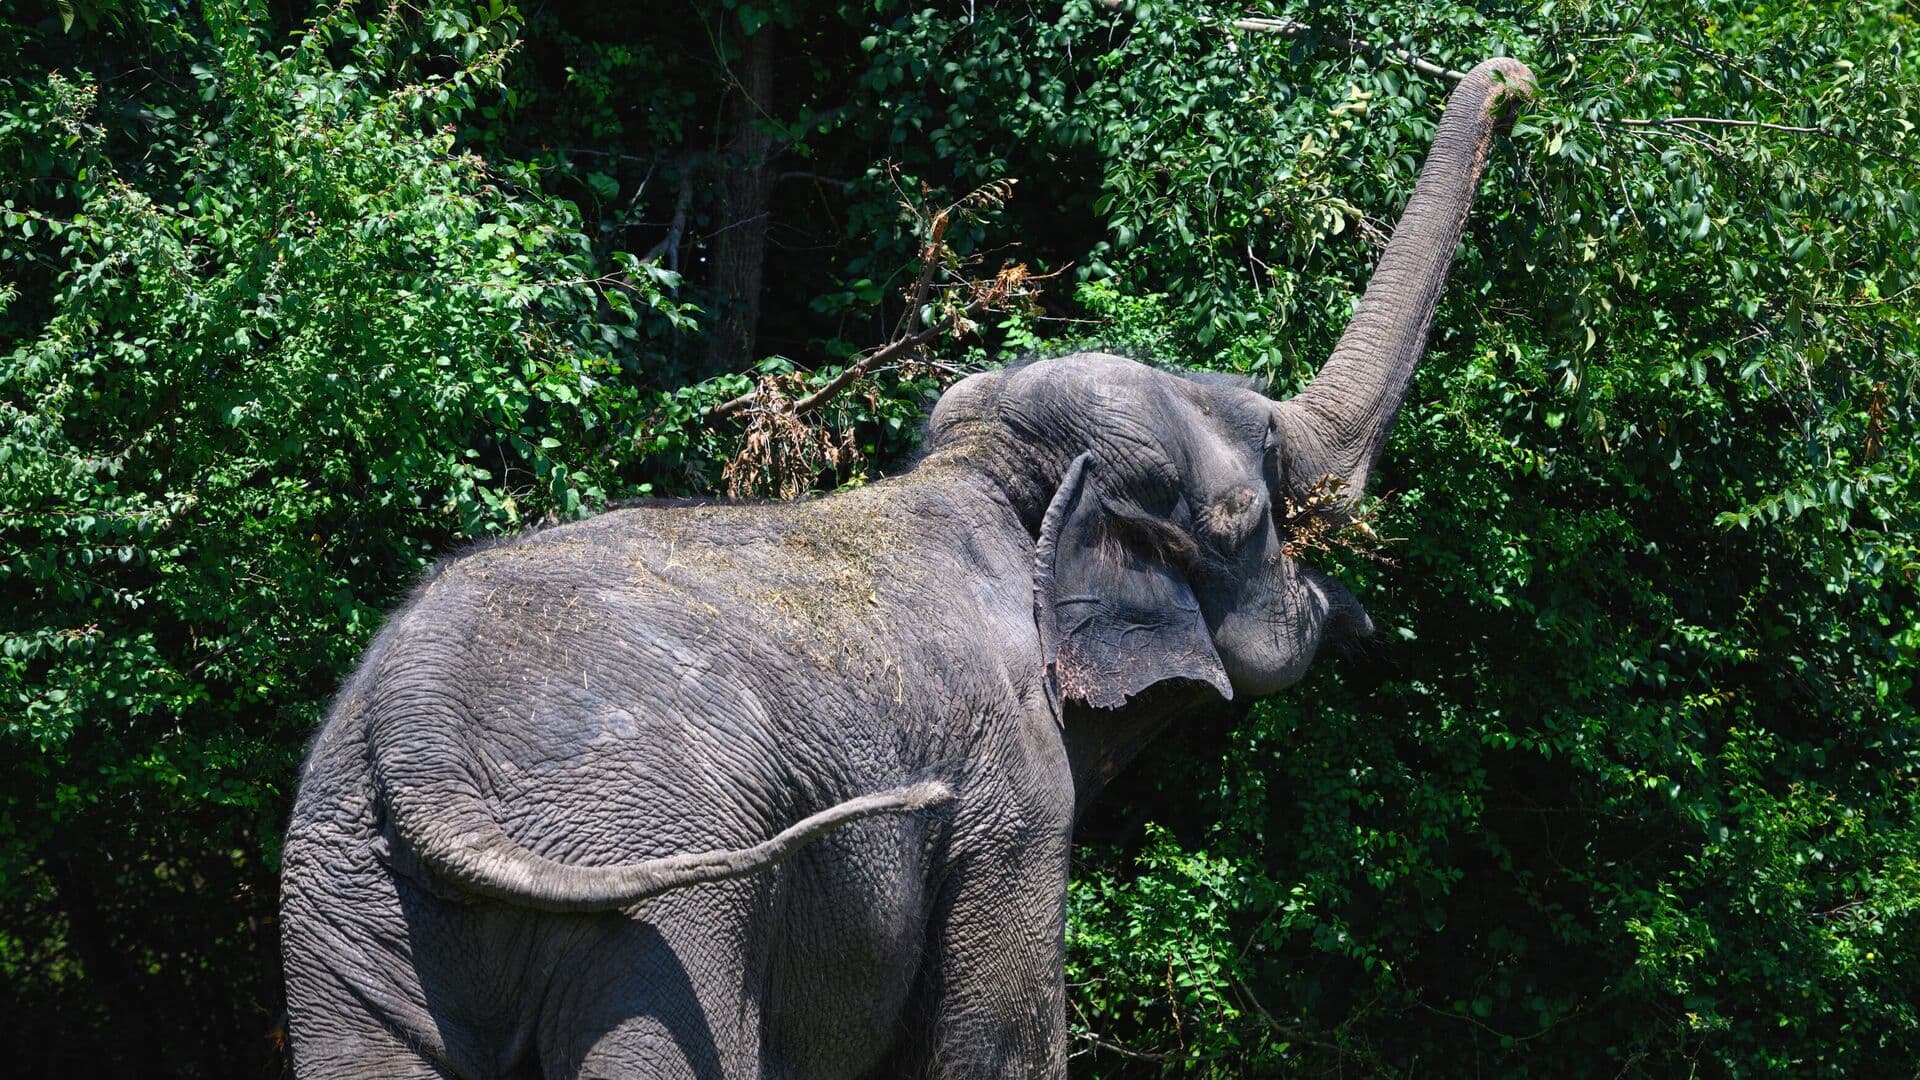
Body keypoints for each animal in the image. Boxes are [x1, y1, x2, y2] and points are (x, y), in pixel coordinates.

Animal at [280, 56, 1533, 1079]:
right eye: (1249, 514)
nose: (1513, 80)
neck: (996, 483)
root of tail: (422, 744)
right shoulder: (1010, 788)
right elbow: (997, 1043)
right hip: (646, 877)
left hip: (345, 893)